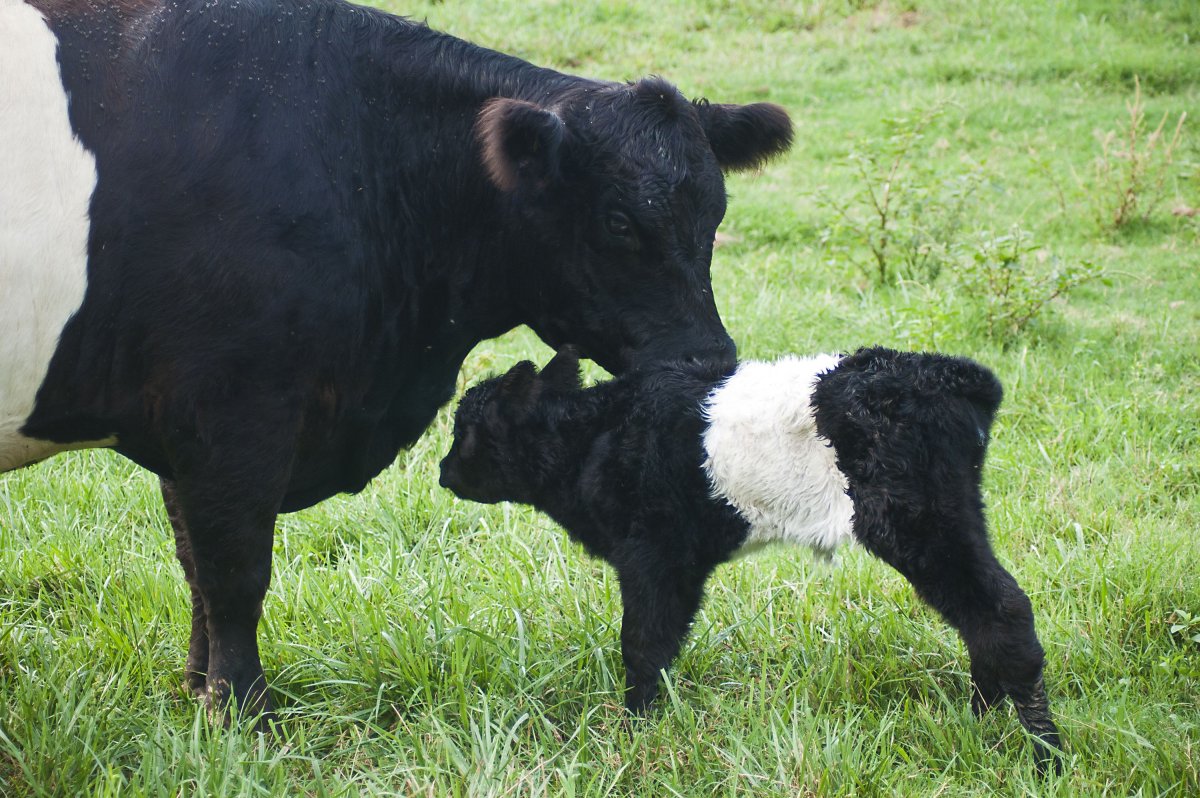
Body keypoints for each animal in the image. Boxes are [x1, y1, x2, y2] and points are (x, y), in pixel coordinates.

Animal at [0, 0, 793, 726]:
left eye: (715, 217)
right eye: (619, 221)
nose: (709, 358)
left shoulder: (183, 424)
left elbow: (195, 564)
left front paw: (200, 692)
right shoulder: (233, 406)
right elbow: (233, 571)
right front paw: (244, 713)